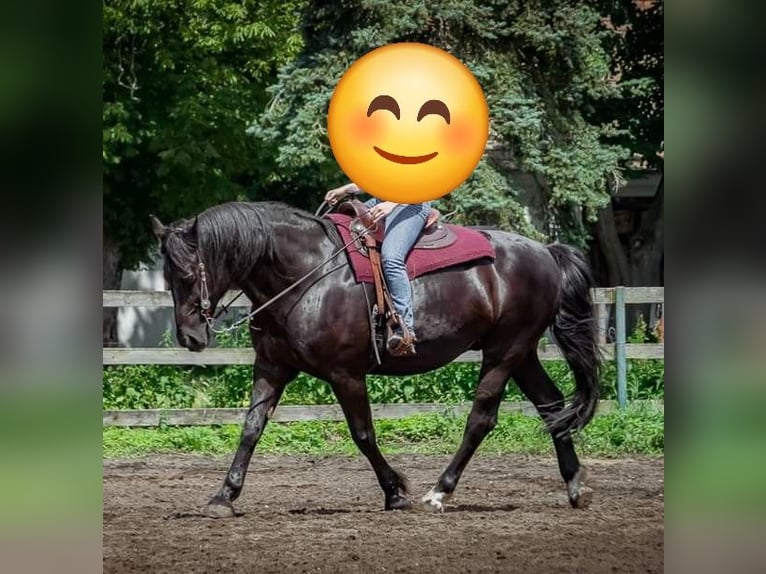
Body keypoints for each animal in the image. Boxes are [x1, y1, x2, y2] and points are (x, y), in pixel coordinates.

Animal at [150, 199, 601, 517]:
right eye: (167, 276)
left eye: (189, 273)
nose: (189, 337)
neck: (308, 274)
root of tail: (544, 251)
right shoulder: (272, 368)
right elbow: (251, 429)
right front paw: (224, 496)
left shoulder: (345, 374)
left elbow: (363, 434)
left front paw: (395, 492)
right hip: (521, 353)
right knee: (551, 405)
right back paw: (576, 486)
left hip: (504, 351)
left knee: (482, 418)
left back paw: (439, 492)